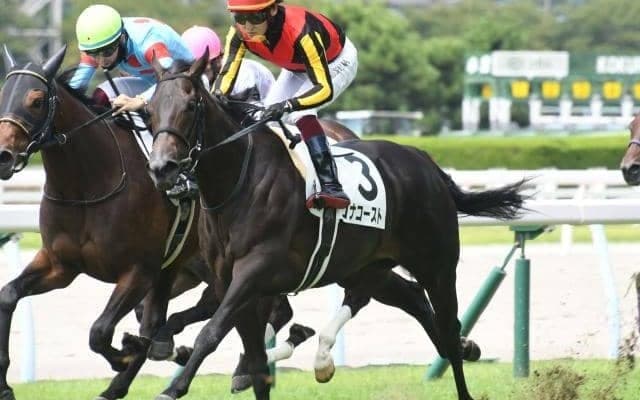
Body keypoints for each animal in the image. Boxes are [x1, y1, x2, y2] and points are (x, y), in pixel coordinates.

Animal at [146, 54, 525, 400]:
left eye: (190, 106)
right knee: (406, 299)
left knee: (446, 324)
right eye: (149, 110)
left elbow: (211, 333)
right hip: (365, 265)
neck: (240, 181)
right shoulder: (230, 281)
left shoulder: (254, 272)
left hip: (437, 267)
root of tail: (426, 162)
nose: (162, 167)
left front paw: (173, 388)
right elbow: (254, 362)